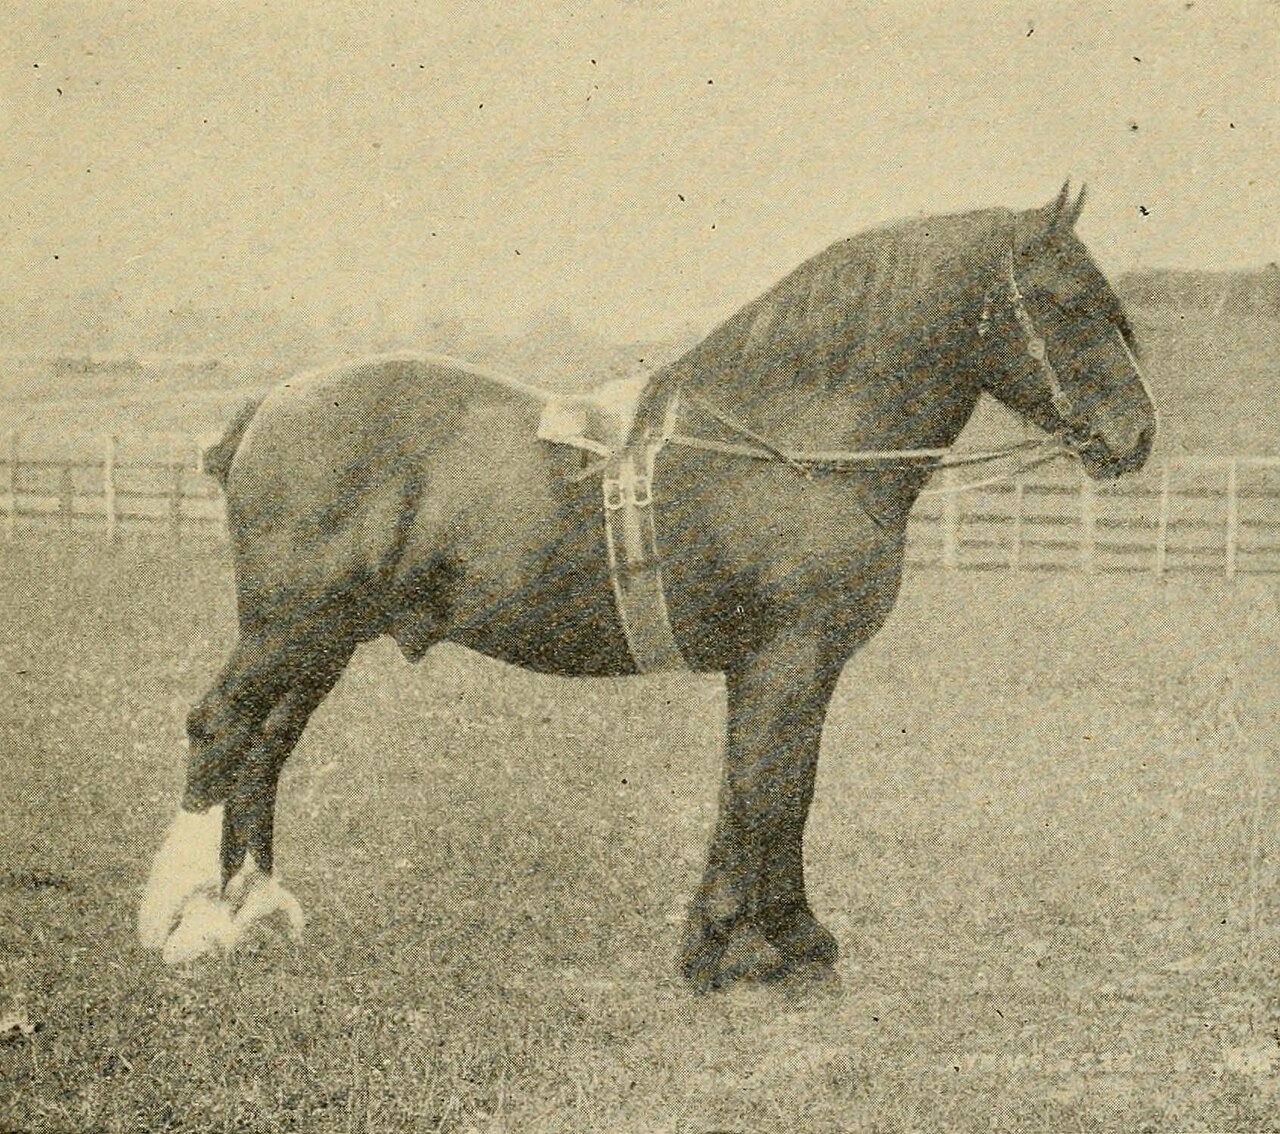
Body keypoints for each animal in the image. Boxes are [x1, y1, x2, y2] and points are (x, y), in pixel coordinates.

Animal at [139, 182, 1156, 991]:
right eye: (1065, 301)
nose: (1136, 433)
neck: (796, 441)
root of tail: (269, 405)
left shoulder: (784, 667)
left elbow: (763, 785)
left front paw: (744, 941)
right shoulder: (790, 656)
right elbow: (772, 787)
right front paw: (765, 942)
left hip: (323, 640)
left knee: (267, 746)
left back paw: (252, 907)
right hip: (287, 630)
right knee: (220, 729)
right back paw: (181, 920)